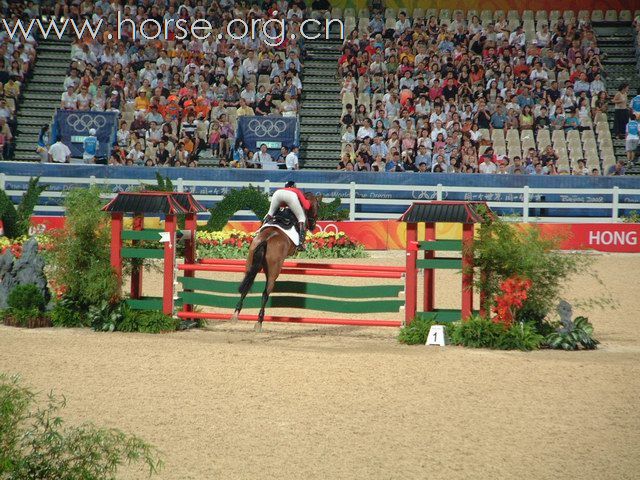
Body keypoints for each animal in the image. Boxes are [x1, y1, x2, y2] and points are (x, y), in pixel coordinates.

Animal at [230, 191, 320, 330]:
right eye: (317, 206)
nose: (314, 225)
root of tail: (265, 240)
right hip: (273, 272)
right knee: (265, 293)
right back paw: (259, 321)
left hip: (250, 265)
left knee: (246, 286)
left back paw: (236, 314)